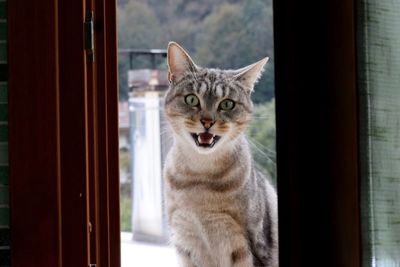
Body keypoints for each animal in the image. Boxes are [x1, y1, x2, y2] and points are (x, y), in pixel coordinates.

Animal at [162, 42, 278, 267]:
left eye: (227, 104)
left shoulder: (252, 246)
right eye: (192, 99)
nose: (207, 121)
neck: (199, 177)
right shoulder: (185, 242)